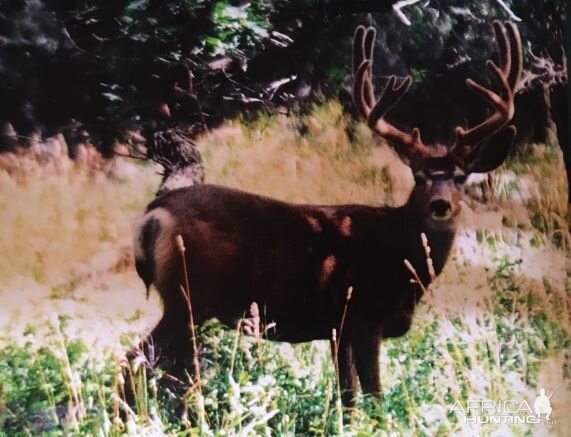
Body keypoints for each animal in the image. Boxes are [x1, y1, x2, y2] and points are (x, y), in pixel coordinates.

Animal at [133, 21, 524, 406]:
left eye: (460, 177)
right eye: (419, 176)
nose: (440, 204)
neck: (399, 252)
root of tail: (153, 214)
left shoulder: (337, 330)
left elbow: (346, 396)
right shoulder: (363, 315)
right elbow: (374, 395)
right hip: (189, 296)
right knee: (137, 362)